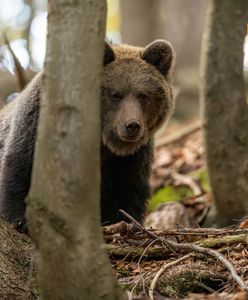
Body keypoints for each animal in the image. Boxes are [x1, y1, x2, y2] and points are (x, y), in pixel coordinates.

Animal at [0, 39, 174, 231]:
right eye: (116, 94)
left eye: (143, 95)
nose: (132, 125)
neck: (102, 139)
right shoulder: (38, 123)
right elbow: (21, 166)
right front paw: (20, 218)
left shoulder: (128, 158)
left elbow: (126, 190)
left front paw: (126, 222)